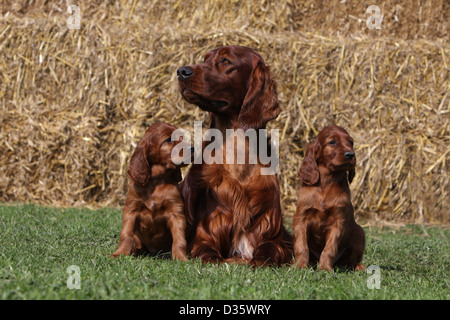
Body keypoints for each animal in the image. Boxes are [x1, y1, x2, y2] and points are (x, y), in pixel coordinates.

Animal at [112, 122, 192, 260]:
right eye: (168, 139)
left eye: (182, 138)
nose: (193, 149)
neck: (157, 181)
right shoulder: (131, 210)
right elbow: (126, 234)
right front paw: (120, 253)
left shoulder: (176, 212)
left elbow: (179, 238)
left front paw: (181, 258)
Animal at [176, 44, 292, 264]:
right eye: (205, 59)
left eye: (226, 61)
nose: (181, 71)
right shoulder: (205, 235)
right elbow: (209, 255)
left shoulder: (273, 236)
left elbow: (267, 253)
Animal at [292, 125, 366, 270]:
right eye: (332, 142)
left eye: (351, 142)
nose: (351, 155)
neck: (326, 183)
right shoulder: (301, 218)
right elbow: (301, 246)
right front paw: (300, 265)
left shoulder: (338, 222)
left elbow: (329, 249)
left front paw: (325, 268)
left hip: (360, 232)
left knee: (349, 261)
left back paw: (358, 267)